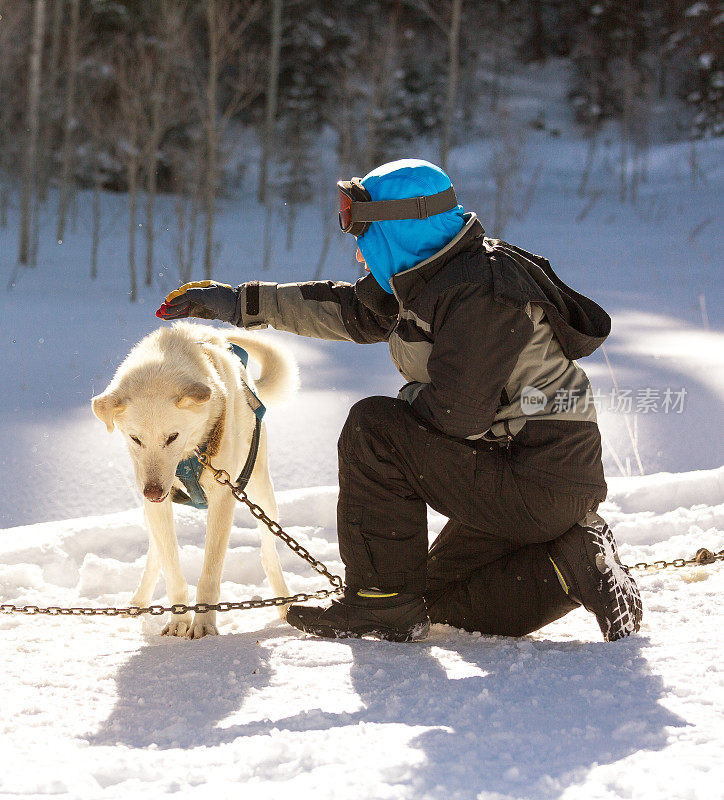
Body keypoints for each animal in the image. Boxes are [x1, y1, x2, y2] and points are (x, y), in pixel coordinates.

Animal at [92, 318, 296, 636]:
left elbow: (210, 573)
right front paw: (178, 620)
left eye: (172, 437)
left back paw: (284, 603)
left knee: (269, 553)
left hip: (261, 490)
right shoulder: (157, 503)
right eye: (135, 439)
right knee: (155, 554)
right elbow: (171, 568)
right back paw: (139, 601)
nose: (152, 490)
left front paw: (203, 625)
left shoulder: (224, 497)